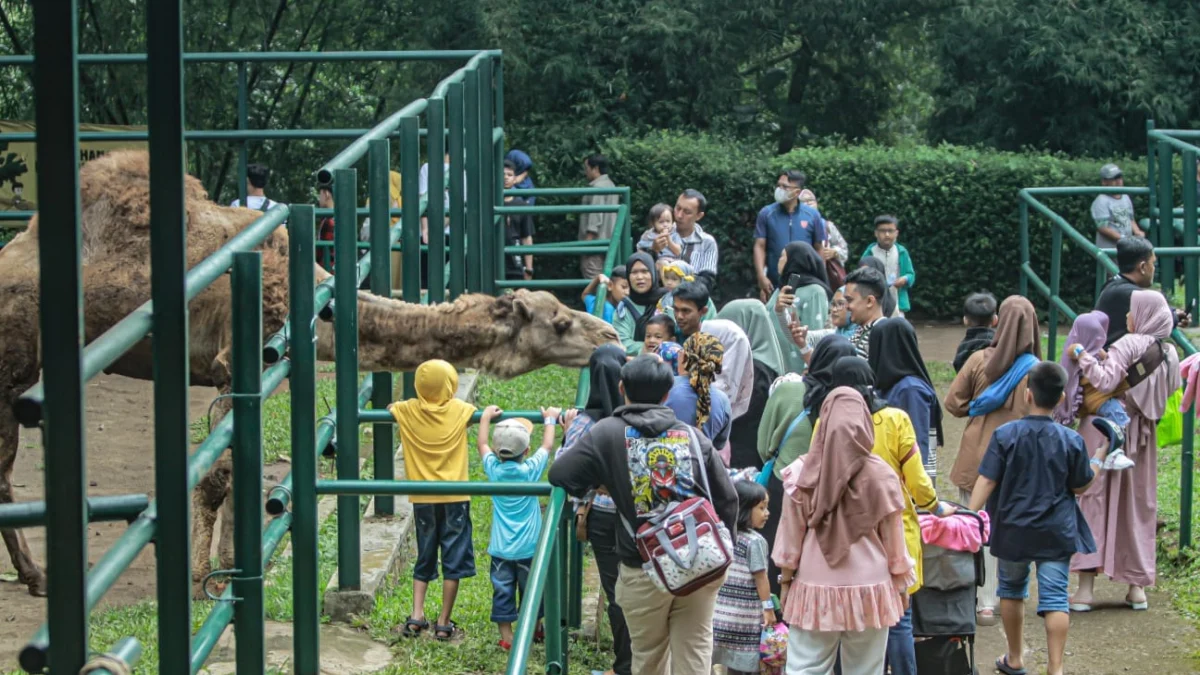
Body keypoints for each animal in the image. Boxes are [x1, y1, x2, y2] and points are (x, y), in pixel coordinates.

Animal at [0, 151, 619, 593]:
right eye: (560, 320)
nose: (610, 335)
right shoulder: (233, 361)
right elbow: (216, 476)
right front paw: (203, 583)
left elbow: (237, 471)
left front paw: (228, 572)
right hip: (12, 357)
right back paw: (36, 578)